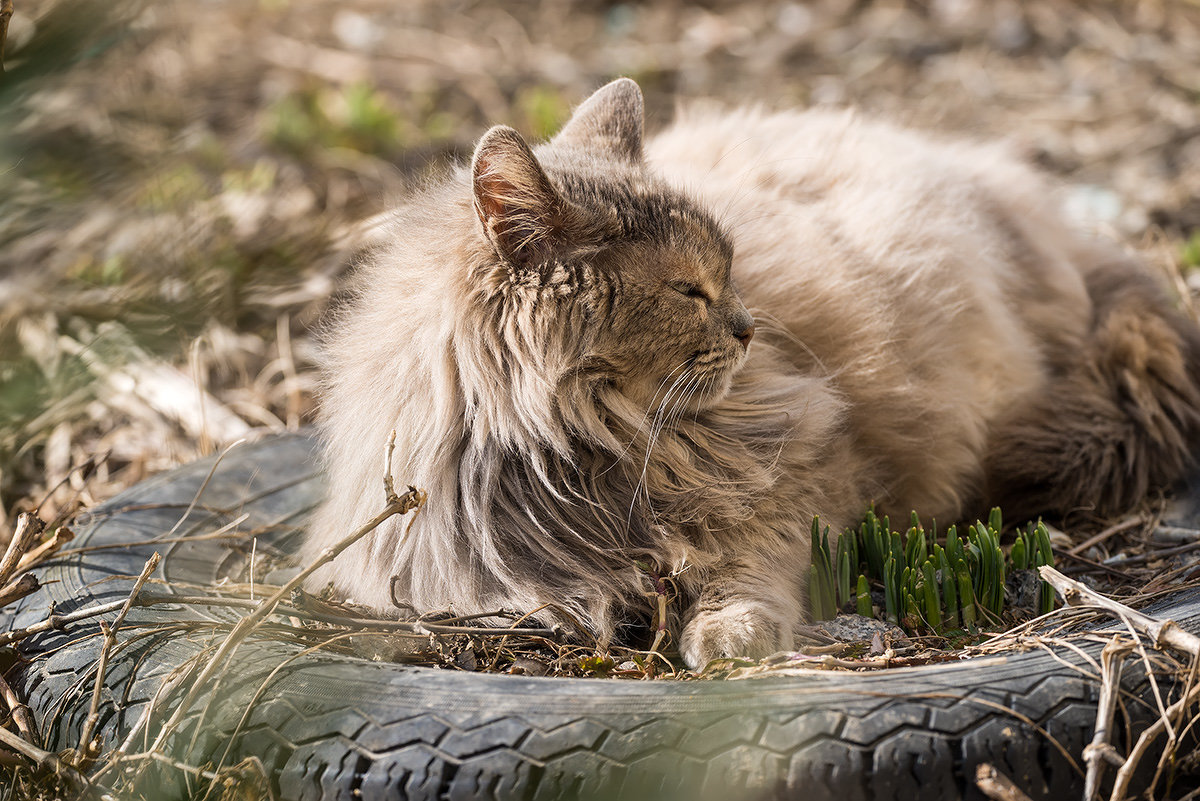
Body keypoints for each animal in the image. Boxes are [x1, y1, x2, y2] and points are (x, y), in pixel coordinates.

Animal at [304, 77, 1200, 666]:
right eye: (688, 290)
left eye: (730, 271)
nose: (747, 326)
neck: (589, 451)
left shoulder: (799, 471)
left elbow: (747, 561)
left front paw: (729, 634)